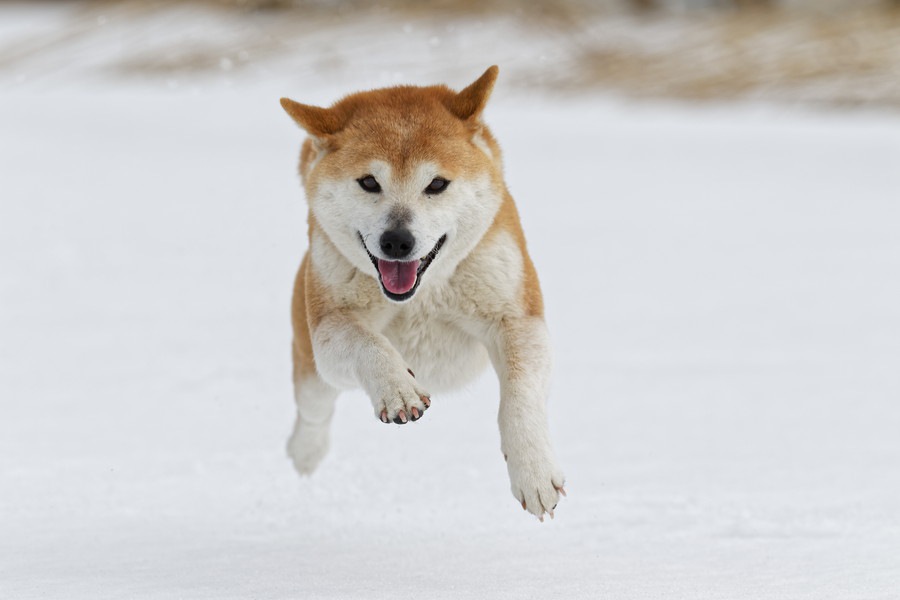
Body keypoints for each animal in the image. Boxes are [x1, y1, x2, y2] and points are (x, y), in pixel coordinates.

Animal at [282, 67, 568, 520]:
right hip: (311, 366)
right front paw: (397, 387)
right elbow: (367, 343)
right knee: (313, 410)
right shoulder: (328, 328)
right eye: (369, 182)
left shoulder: (518, 317)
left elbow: (520, 393)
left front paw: (534, 471)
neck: (421, 296)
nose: (397, 241)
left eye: (436, 184)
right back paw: (306, 453)